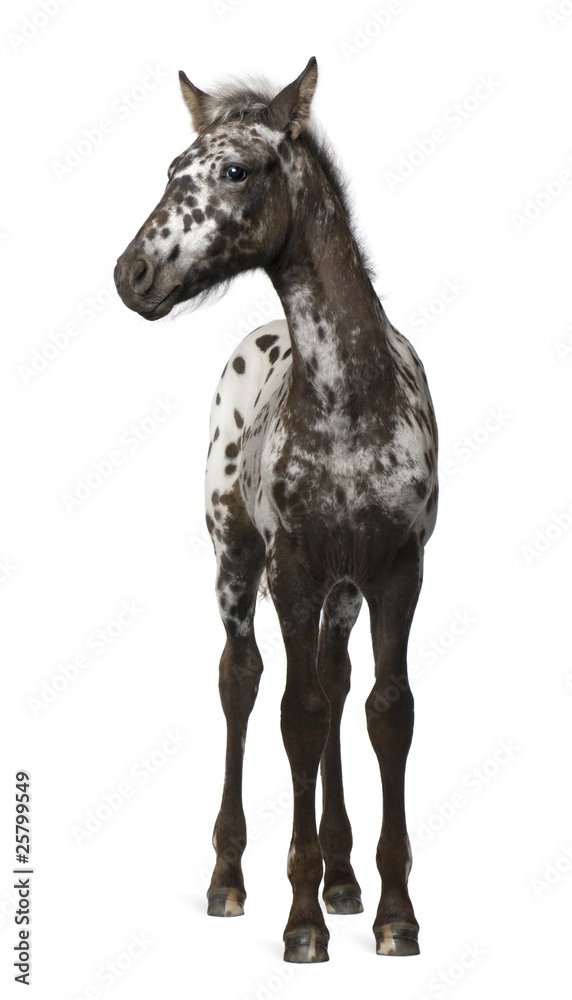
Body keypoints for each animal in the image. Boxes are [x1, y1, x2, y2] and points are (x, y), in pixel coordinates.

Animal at [114, 57, 438, 963]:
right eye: (172, 170)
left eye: (235, 169)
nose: (131, 275)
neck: (350, 402)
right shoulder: (290, 569)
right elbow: (297, 713)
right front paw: (301, 925)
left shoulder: (397, 570)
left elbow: (384, 712)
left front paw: (394, 913)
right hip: (235, 560)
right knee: (244, 678)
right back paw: (230, 881)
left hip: (343, 592)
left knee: (334, 678)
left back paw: (345, 878)